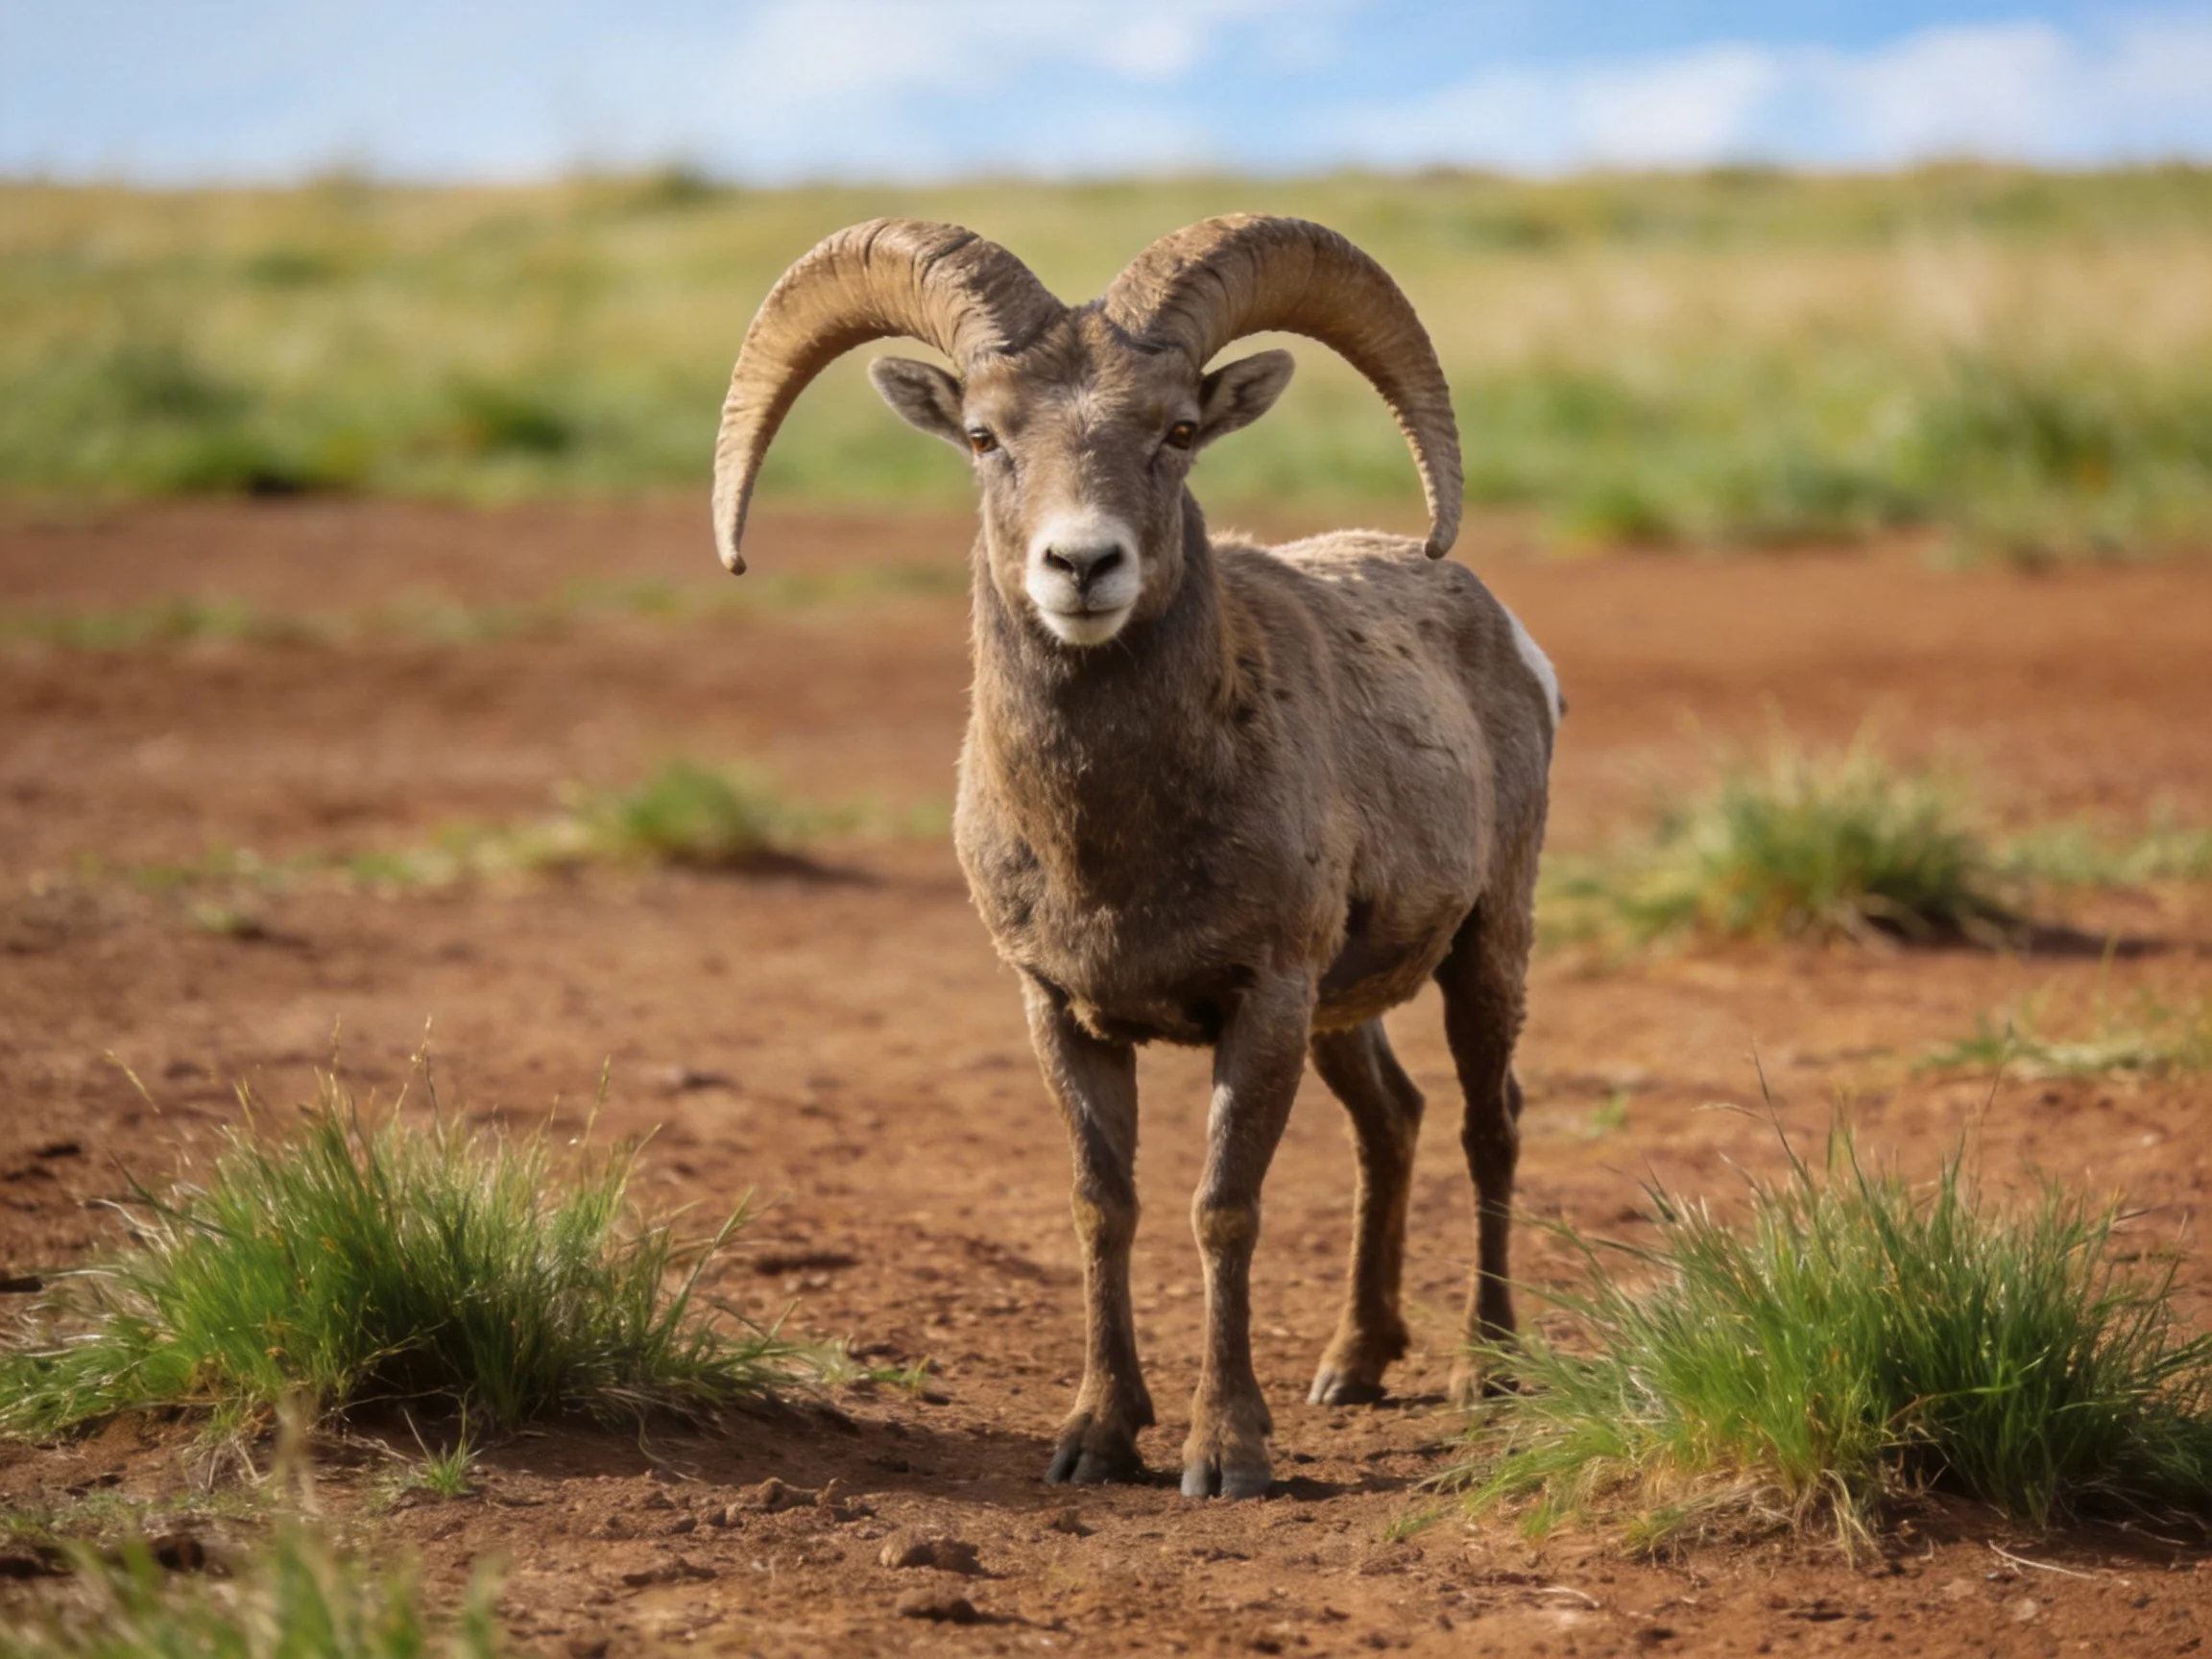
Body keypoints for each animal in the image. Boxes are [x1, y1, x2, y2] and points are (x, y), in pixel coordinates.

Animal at [711, 215, 1559, 1500]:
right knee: (1393, 1124)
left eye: (1178, 431)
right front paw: (1098, 1439)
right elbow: (1101, 1207)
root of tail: (1504, 628)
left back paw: (1486, 1370)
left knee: (1486, 1122)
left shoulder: (1262, 1002)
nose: (1082, 566)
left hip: (1484, 951)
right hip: (1343, 1010)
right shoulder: (1062, 1011)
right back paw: (1352, 1367)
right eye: (984, 435)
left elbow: (1223, 1210)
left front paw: (1227, 1455)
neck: (1114, 850)